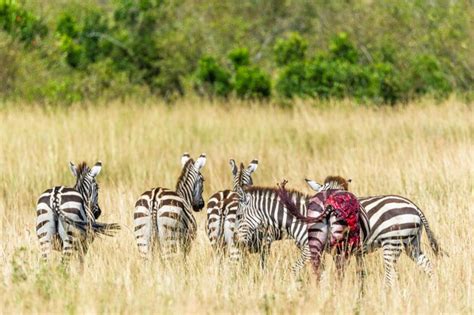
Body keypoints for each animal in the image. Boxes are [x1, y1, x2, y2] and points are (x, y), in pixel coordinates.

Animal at [304, 177, 444, 288]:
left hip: (392, 242)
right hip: (412, 243)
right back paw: (433, 289)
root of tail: (414, 206)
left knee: (390, 275)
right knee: (427, 265)